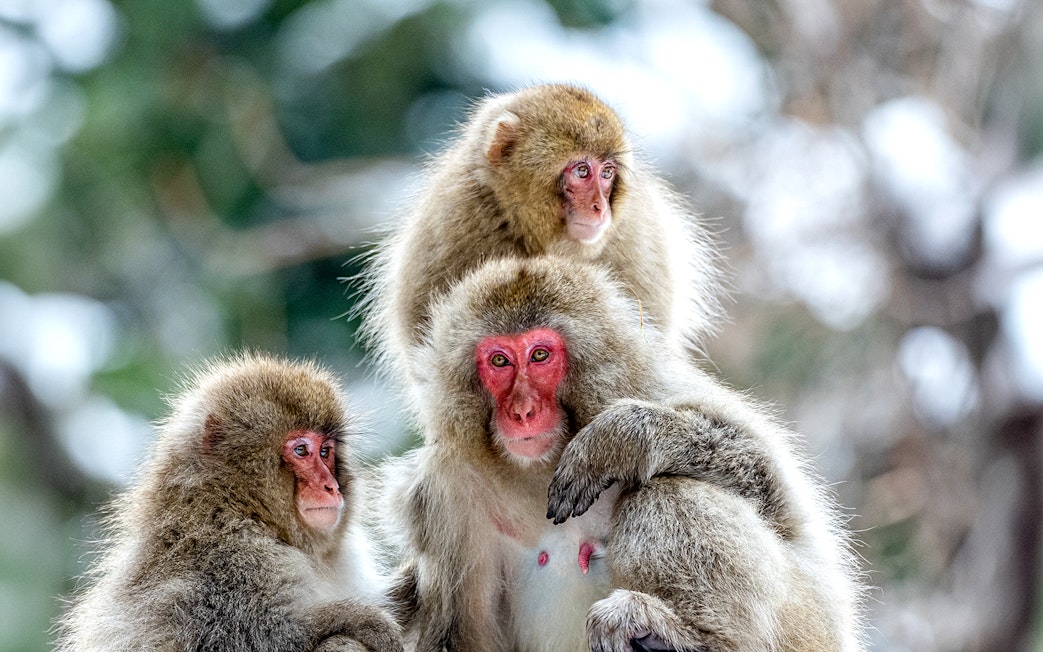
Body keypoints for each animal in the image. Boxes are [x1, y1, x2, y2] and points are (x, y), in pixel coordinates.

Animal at [54, 353, 403, 652]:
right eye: (302, 450)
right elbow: (255, 636)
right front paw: (362, 620)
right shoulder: (233, 560)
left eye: (326, 451)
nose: (331, 487)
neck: (234, 505)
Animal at [379, 256, 865, 652]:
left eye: (539, 355)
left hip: (807, 627)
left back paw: (688, 636)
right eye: (499, 362)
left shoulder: (654, 386)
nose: (522, 411)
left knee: (667, 492)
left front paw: (617, 442)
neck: (537, 470)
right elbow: (458, 632)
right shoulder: (444, 491)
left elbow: (776, 496)